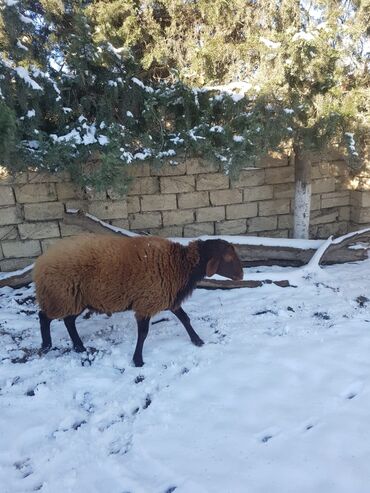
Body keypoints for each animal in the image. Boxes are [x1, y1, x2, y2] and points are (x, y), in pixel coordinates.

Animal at [33, 234, 244, 366]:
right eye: (228, 257)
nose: (242, 275)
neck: (180, 265)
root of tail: (41, 261)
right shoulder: (147, 302)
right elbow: (143, 333)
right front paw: (138, 360)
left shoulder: (168, 297)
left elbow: (185, 319)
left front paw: (197, 340)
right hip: (62, 295)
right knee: (44, 316)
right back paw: (47, 345)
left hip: (75, 299)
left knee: (68, 321)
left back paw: (79, 347)